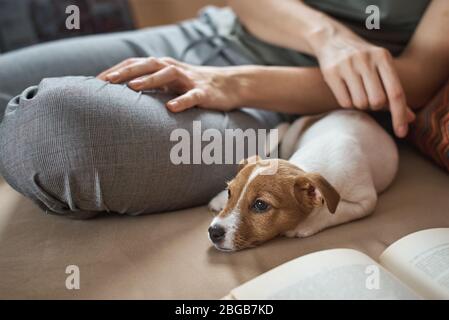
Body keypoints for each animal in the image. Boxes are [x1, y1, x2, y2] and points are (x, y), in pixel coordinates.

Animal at [206, 109, 396, 250]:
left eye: (260, 205)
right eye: (230, 192)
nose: (213, 231)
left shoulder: (365, 202)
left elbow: (333, 212)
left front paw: (305, 224)